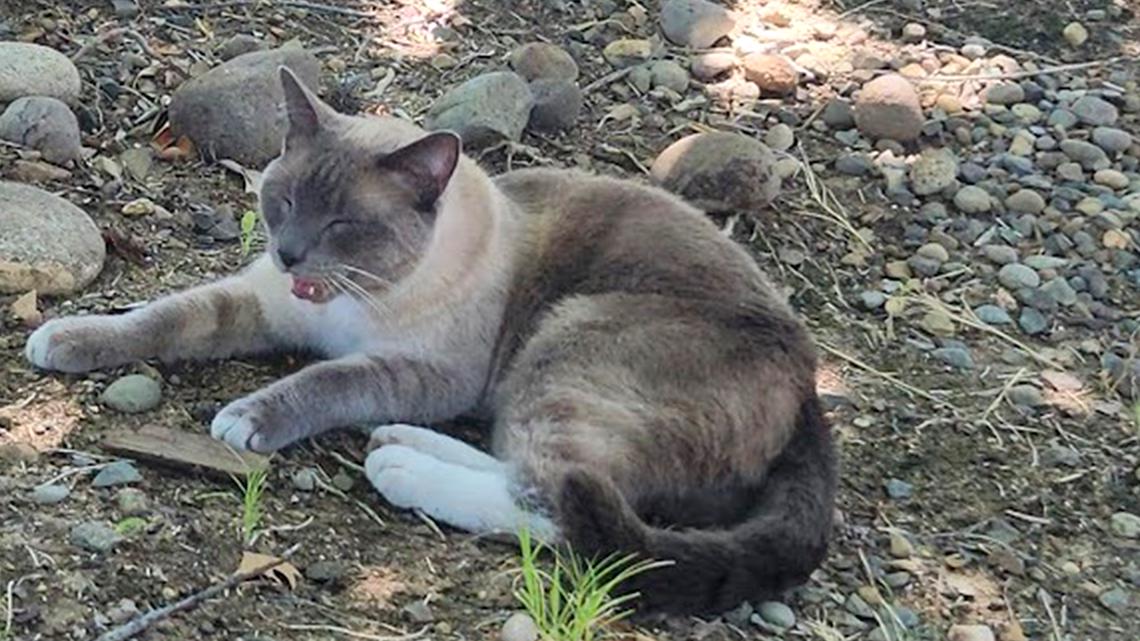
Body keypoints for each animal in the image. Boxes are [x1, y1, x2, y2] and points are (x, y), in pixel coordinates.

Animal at [22, 67, 834, 611]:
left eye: (343, 223)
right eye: (282, 200)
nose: (289, 253)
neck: (345, 301)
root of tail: (809, 382)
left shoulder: (421, 372)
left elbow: (323, 381)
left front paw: (247, 418)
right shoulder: (259, 302)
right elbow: (161, 318)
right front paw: (61, 337)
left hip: (567, 343)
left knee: (562, 504)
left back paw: (401, 466)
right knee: (537, 471)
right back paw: (402, 443)